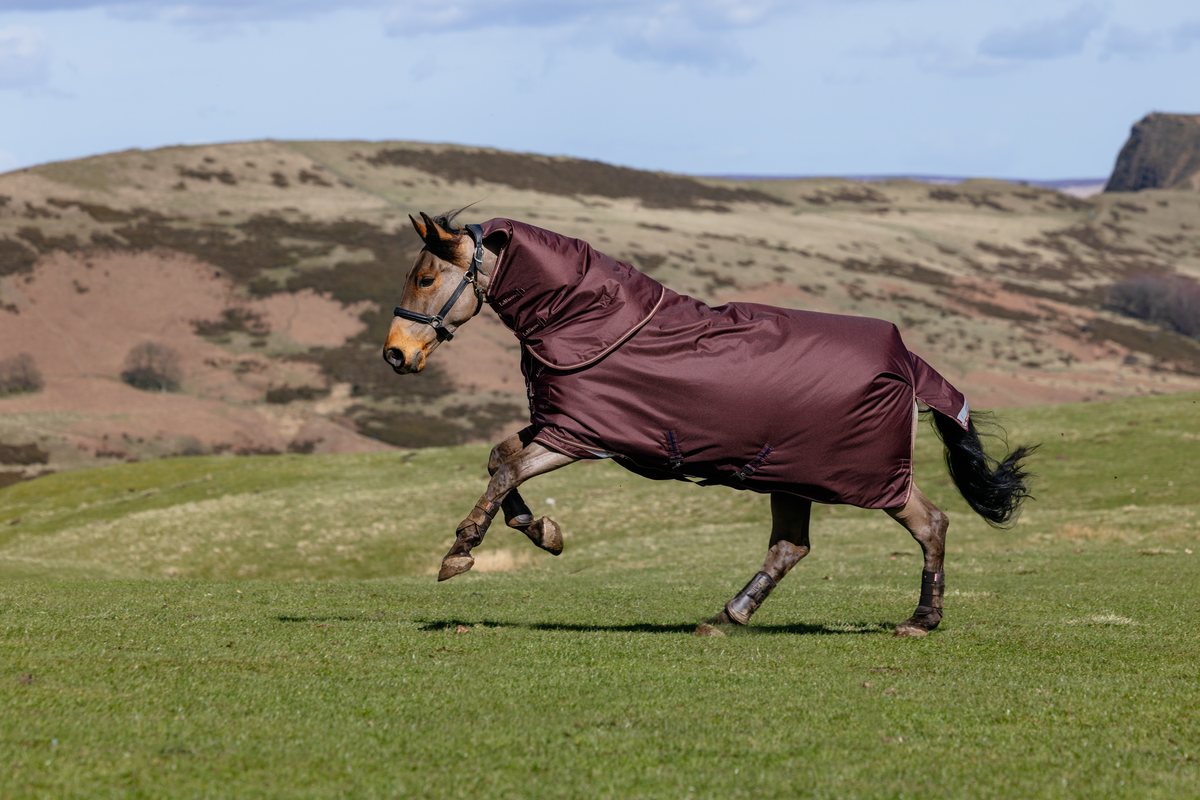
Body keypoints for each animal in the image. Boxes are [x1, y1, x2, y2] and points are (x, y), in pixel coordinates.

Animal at [383, 210, 1034, 636]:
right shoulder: (560, 423)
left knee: (930, 524)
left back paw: (921, 620)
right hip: (789, 475)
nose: (395, 355)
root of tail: (906, 361)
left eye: (425, 278)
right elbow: (500, 459)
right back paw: (727, 616)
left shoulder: (579, 434)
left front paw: (462, 550)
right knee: (790, 547)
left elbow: (508, 468)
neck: (587, 320)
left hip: (865, 479)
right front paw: (542, 530)